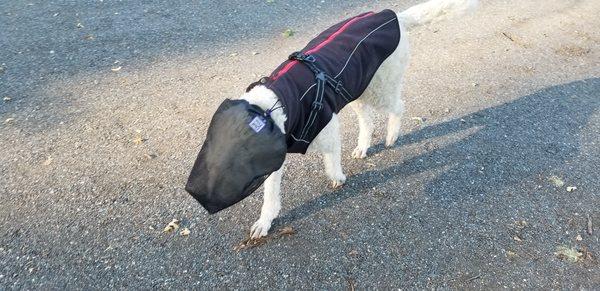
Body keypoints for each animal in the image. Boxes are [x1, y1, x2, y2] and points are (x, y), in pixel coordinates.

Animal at [238, 0, 478, 238]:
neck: (280, 103)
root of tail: (395, 17)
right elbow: (271, 195)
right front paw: (265, 221)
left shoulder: (328, 130)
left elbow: (332, 162)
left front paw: (337, 178)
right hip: (357, 88)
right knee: (367, 121)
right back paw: (363, 146)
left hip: (380, 90)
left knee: (398, 107)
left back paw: (392, 135)